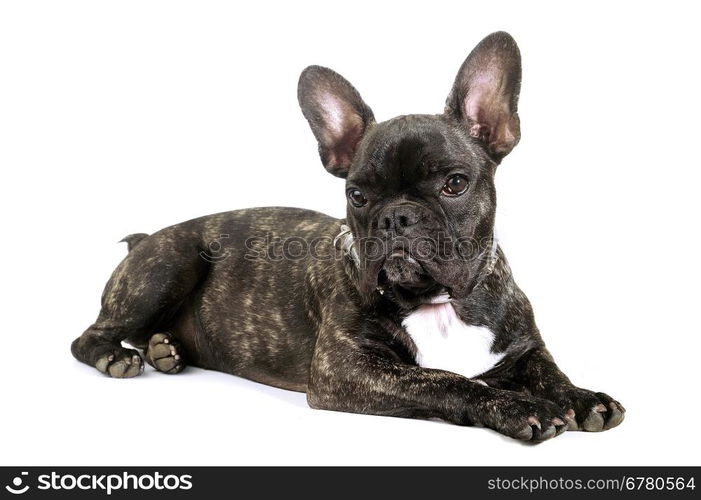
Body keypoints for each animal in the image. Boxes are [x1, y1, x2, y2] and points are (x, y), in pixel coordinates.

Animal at [72, 32, 624, 442]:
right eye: (357, 195)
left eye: (454, 184)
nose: (397, 217)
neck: (440, 302)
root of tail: (149, 236)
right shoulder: (349, 369)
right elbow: (446, 380)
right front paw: (517, 406)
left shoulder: (524, 347)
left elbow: (550, 371)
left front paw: (583, 397)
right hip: (171, 262)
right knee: (90, 337)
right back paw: (120, 356)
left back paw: (165, 349)